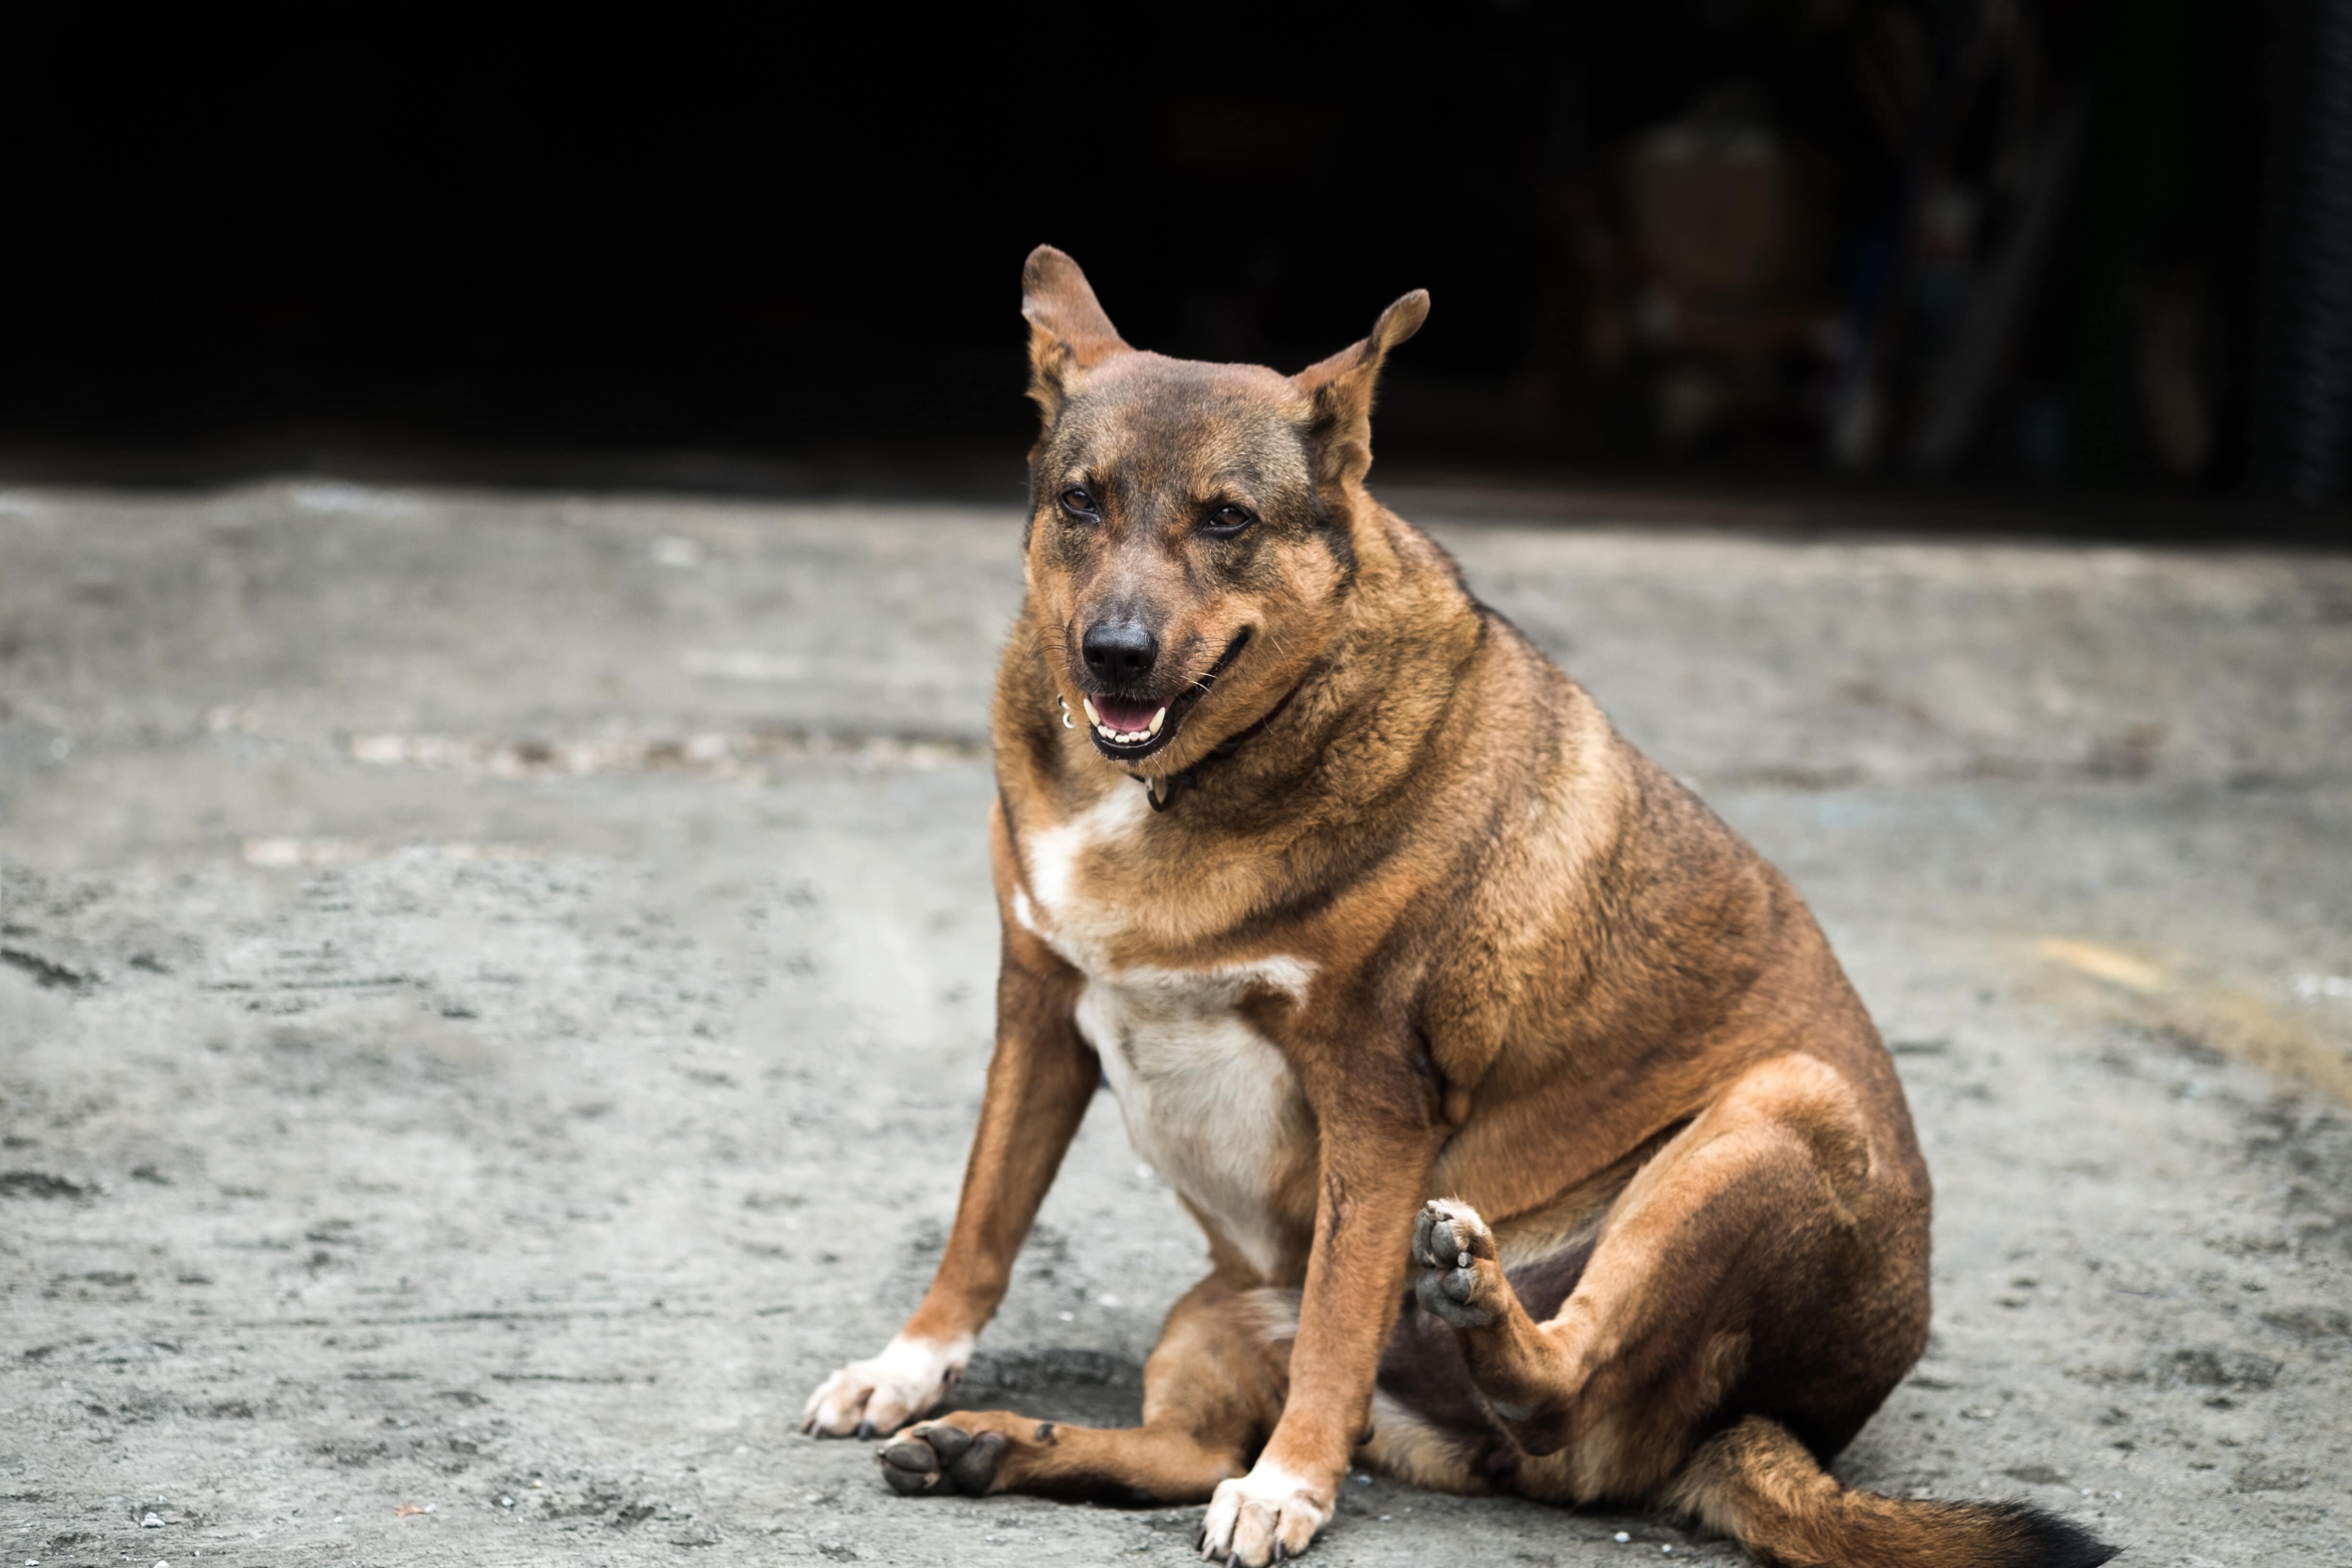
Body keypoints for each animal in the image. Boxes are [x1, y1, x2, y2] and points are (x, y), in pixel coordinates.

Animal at [799, 248, 2126, 1568]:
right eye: (1080, 502)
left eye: (1227, 520)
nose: (1112, 654)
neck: (1178, 783)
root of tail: (1741, 1436)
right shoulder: (1038, 1012)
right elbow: (982, 1221)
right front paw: (906, 1369)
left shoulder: (1374, 1099)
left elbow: (1336, 1323)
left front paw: (1291, 1484)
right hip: (1220, 1306)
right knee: (1184, 1452)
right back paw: (993, 1447)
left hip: (1783, 1109)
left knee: (1552, 1378)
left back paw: (1468, 1315)